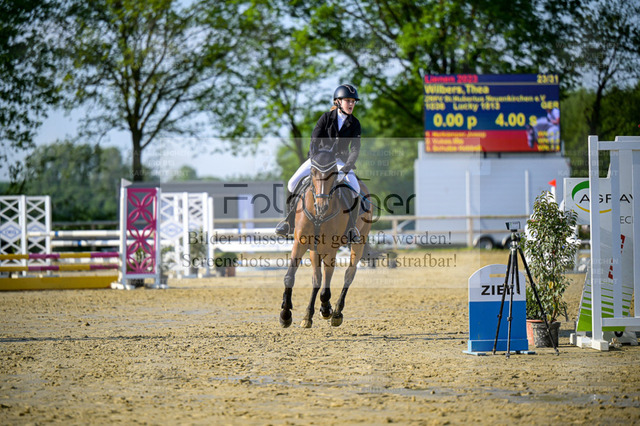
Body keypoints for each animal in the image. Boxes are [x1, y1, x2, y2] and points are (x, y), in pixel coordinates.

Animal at [279, 146, 373, 328]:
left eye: (334, 172)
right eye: (313, 171)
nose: (322, 206)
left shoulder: (331, 247)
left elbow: (327, 281)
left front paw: (326, 309)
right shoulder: (301, 243)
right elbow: (290, 276)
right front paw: (286, 314)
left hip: (358, 242)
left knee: (348, 274)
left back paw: (336, 312)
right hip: (315, 249)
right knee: (317, 278)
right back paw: (310, 314)